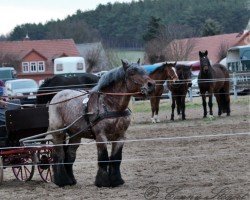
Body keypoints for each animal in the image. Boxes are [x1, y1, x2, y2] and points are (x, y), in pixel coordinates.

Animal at [47, 59, 155, 188]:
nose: (151, 84)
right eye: (132, 72)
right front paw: (102, 182)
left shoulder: (120, 136)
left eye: (144, 71)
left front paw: (117, 180)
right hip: (58, 133)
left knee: (70, 155)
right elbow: (103, 158)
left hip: (75, 135)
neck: (110, 104)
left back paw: (71, 180)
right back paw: (61, 181)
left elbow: (116, 159)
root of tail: (57, 95)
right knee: (59, 155)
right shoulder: (101, 136)